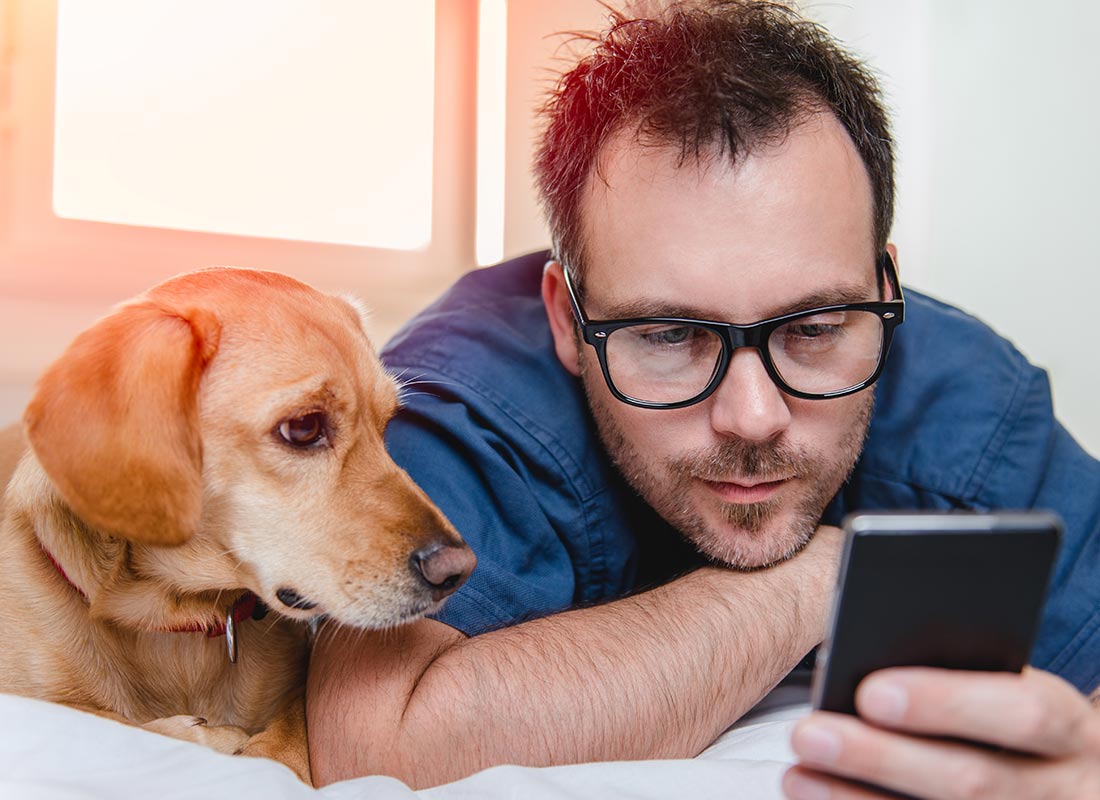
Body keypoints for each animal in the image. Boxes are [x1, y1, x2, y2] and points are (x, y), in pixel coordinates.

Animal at [0, 269, 475, 783]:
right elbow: (100, 717)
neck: (180, 623)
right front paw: (209, 736)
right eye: (304, 428)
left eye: (386, 425)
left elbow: (282, 748)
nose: (458, 571)